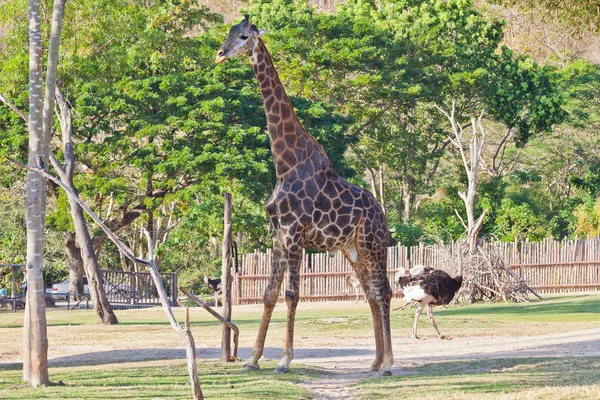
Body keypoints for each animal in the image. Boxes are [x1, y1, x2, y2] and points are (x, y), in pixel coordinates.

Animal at [216, 15, 394, 376]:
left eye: (243, 37)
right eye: (228, 33)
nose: (220, 53)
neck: (284, 162)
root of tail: (381, 212)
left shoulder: (295, 232)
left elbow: (291, 294)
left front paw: (284, 360)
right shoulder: (277, 234)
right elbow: (269, 294)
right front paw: (253, 360)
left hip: (373, 243)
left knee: (385, 291)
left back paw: (388, 365)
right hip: (353, 250)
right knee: (371, 293)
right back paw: (374, 361)